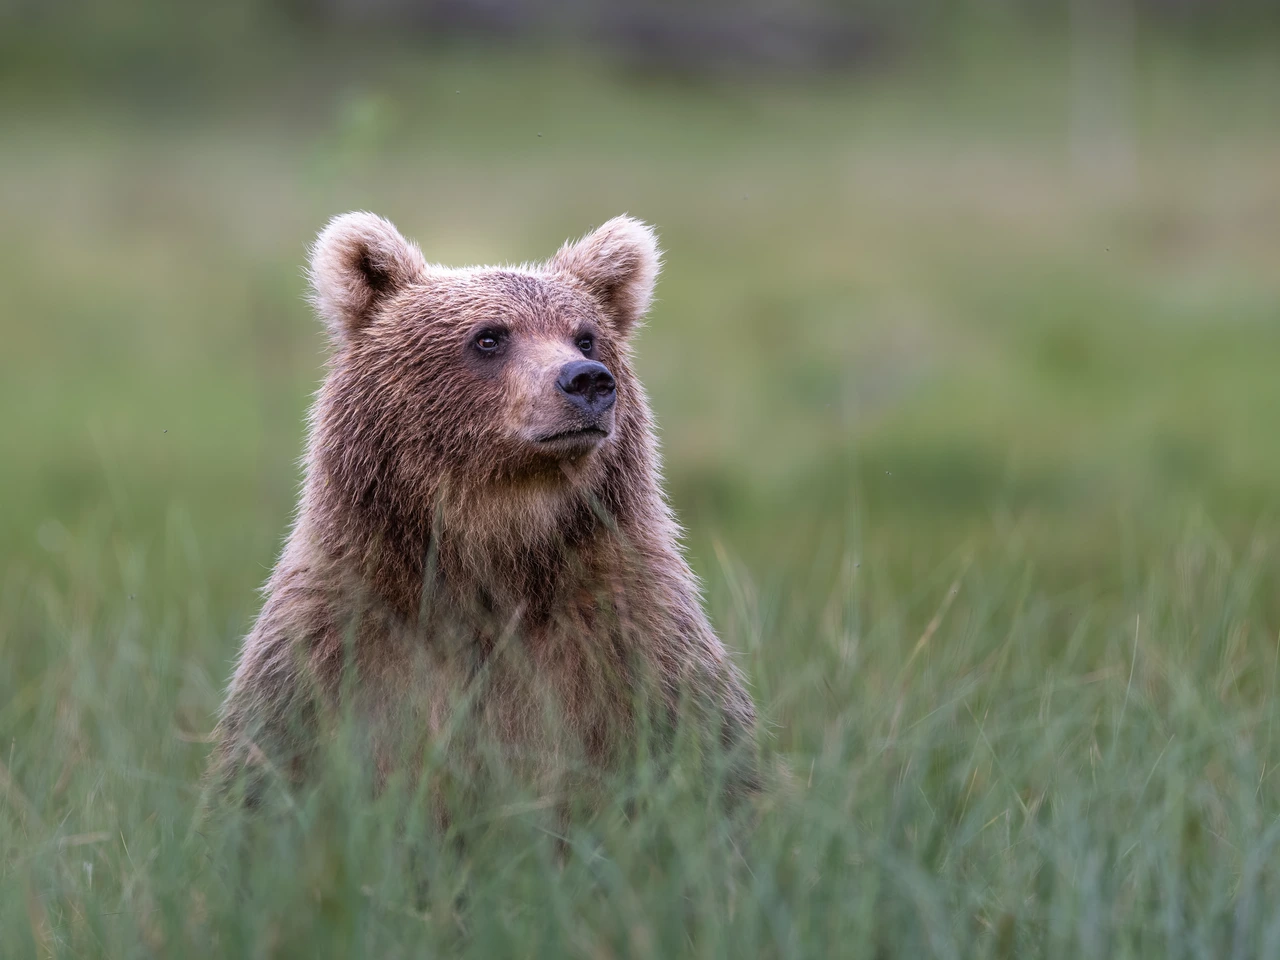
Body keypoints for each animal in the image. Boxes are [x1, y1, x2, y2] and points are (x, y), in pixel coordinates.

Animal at [209, 212, 762, 814]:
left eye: (585, 335)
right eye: (490, 337)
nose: (587, 379)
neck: (495, 551)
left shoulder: (635, 640)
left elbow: (712, 758)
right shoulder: (333, 645)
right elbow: (267, 768)